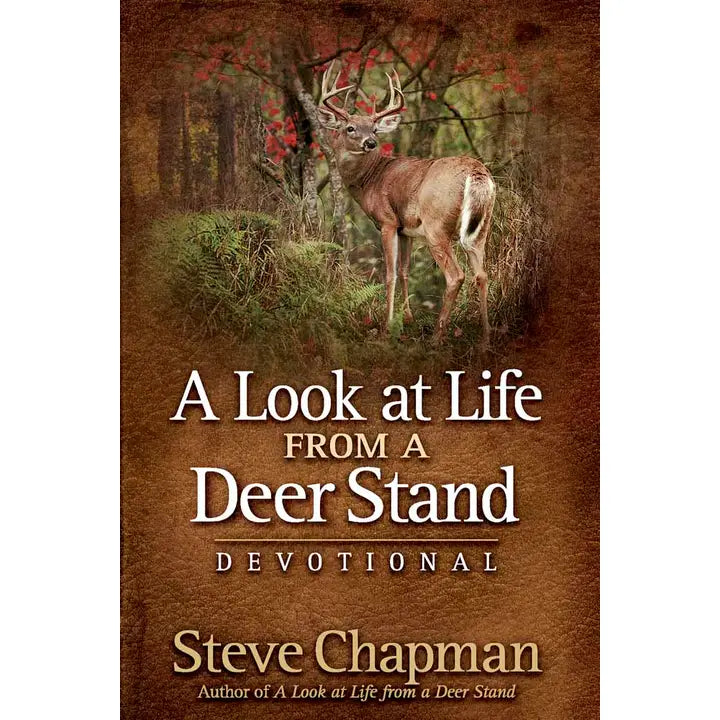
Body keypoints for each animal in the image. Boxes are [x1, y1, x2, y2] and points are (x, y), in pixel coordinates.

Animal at [315, 62, 496, 346]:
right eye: (350, 128)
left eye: (374, 129)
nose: (371, 142)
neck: (370, 179)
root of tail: (476, 172)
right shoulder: (406, 229)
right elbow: (404, 270)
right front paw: (407, 318)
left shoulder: (388, 221)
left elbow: (389, 274)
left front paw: (386, 326)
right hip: (481, 226)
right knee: (482, 274)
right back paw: (485, 339)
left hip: (437, 226)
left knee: (456, 275)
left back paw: (437, 336)